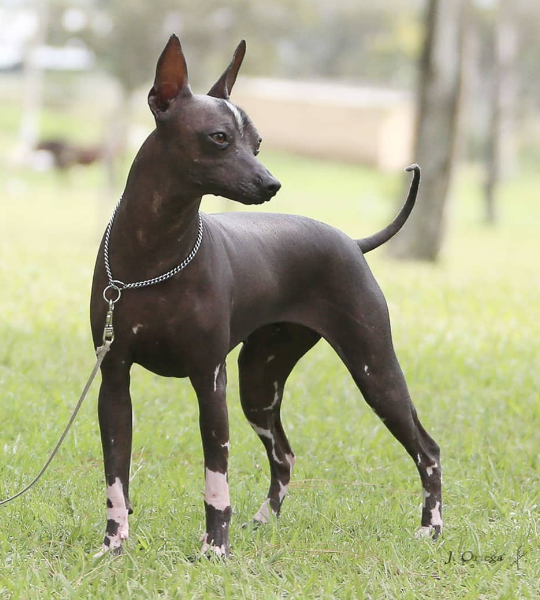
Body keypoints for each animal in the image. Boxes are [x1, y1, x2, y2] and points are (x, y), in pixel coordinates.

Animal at [89, 34, 442, 556]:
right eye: (219, 137)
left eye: (257, 143)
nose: (271, 183)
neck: (155, 251)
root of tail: (351, 242)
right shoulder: (114, 380)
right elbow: (117, 476)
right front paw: (114, 546)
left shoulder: (208, 380)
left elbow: (216, 478)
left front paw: (215, 549)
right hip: (260, 382)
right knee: (285, 454)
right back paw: (262, 520)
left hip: (373, 368)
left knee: (426, 447)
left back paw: (431, 527)